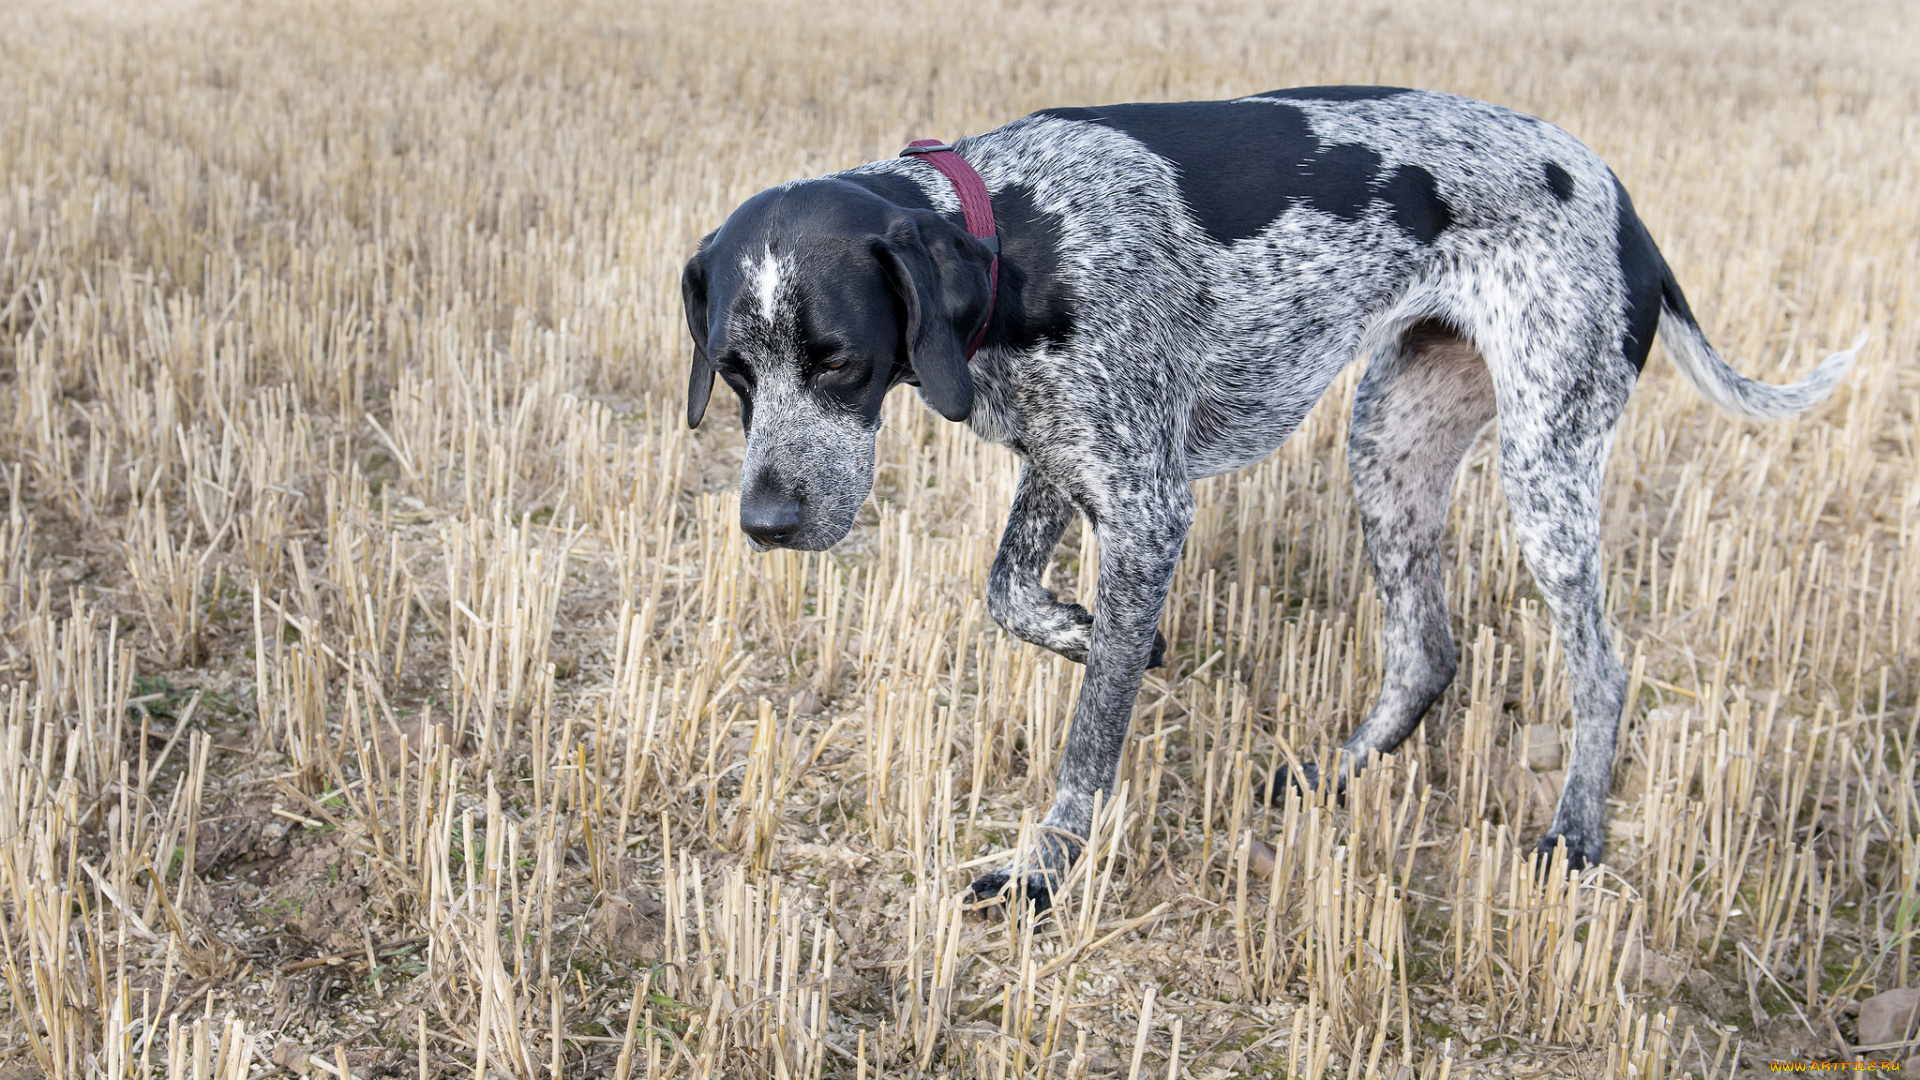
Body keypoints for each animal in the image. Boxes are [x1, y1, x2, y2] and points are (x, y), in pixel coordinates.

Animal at [679, 88, 1858, 903]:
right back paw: (1335, 778)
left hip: (1544, 471)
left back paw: (1575, 836)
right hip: (1391, 447)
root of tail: (1625, 205)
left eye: (838, 362)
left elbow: (1088, 743)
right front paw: (1104, 635)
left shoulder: (1147, 507)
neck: (1021, 232)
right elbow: (1011, 595)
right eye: (733, 374)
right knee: (1428, 652)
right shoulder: (1065, 461)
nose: (766, 525)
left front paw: (1044, 872)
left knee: (1603, 668)